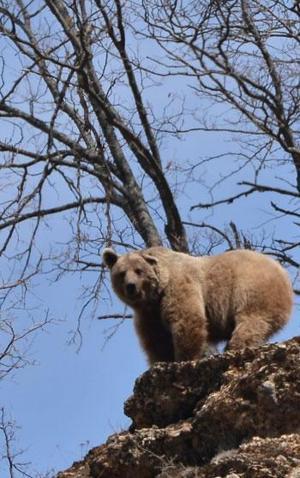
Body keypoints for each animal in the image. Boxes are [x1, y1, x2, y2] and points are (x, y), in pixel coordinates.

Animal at [102, 248, 292, 364]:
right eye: (121, 273)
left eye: (138, 271)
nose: (131, 286)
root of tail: (283, 272)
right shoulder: (149, 316)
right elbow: (157, 342)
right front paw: (161, 361)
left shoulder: (178, 287)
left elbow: (187, 320)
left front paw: (184, 358)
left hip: (251, 286)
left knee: (252, 319)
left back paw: (234, 347)